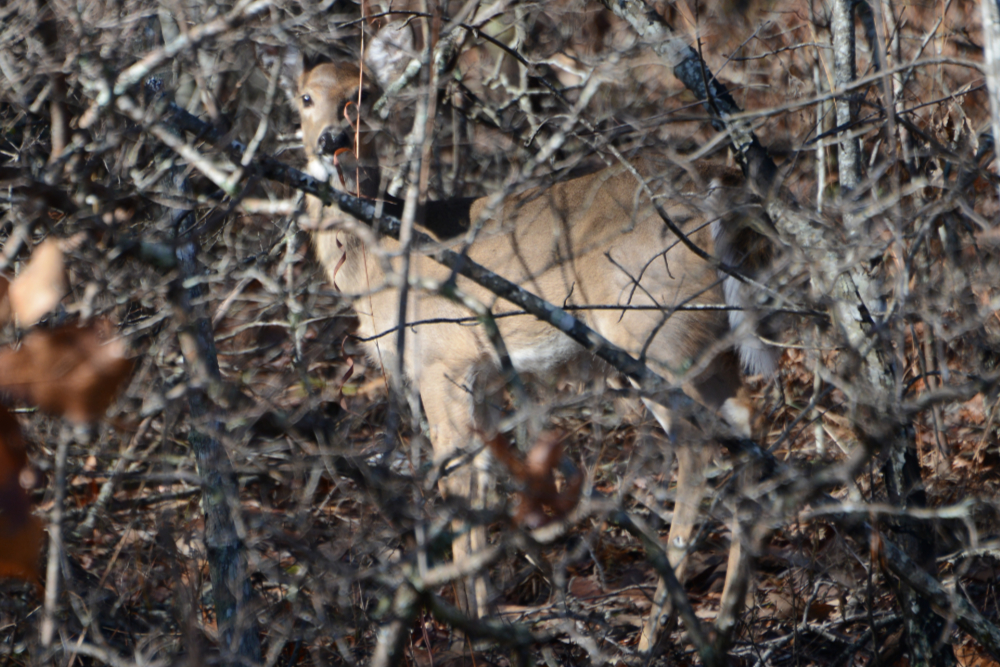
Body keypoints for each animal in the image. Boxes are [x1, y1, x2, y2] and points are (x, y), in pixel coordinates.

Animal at [279, 42, 778, 643]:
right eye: (306, 97)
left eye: (363, 95)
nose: (332, 138)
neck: (379, 262)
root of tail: (714, 197)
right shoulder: (486, 375)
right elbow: (486, 482)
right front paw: (493, 608)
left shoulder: (443, 360)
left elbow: (458, 483)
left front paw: (473, 629)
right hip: (709, 337)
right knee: (747, 420)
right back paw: (726, 616)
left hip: (653, 330)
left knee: (697, 443)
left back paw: (657, 628)